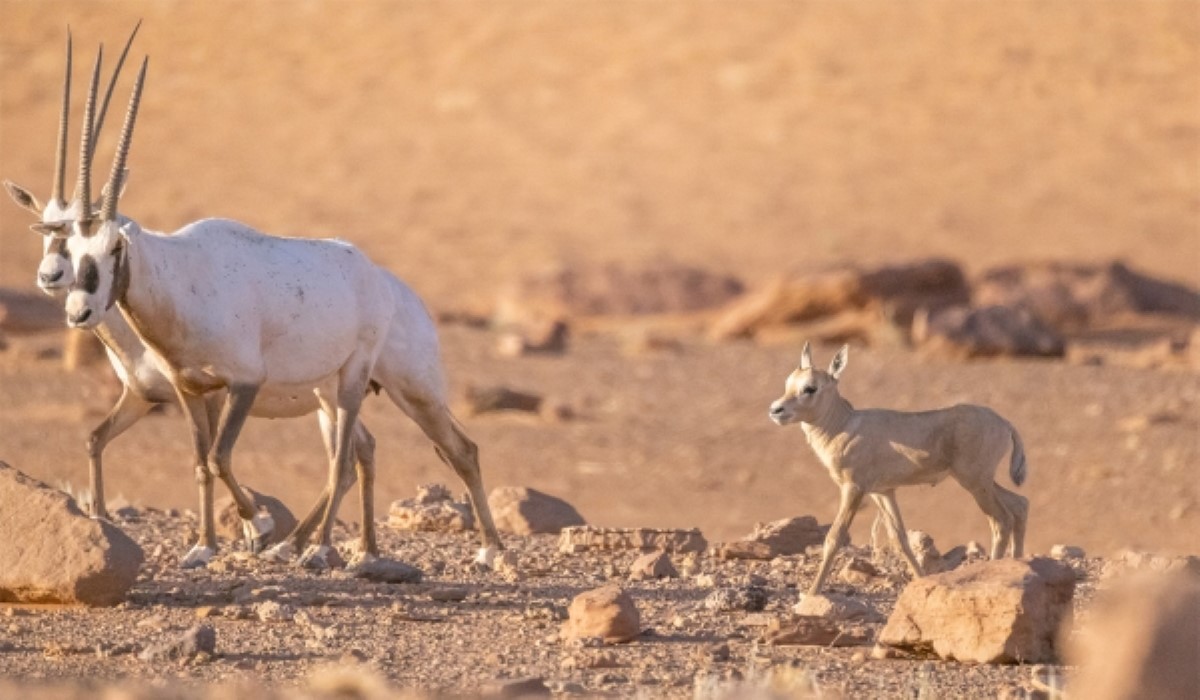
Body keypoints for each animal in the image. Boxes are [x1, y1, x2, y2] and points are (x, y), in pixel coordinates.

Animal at [768, 343, 1032, 595]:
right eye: (789, 383)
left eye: (810, 388)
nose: (776, 410)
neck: (844, 425)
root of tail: (1005, 423)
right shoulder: (883, 492)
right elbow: (899, 538)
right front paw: (921, 579)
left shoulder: (853, 489)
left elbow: (835, 536)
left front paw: (812, 592)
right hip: (983, 482)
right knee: (1019, 504)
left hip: (975, 483)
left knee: (1001, 520)